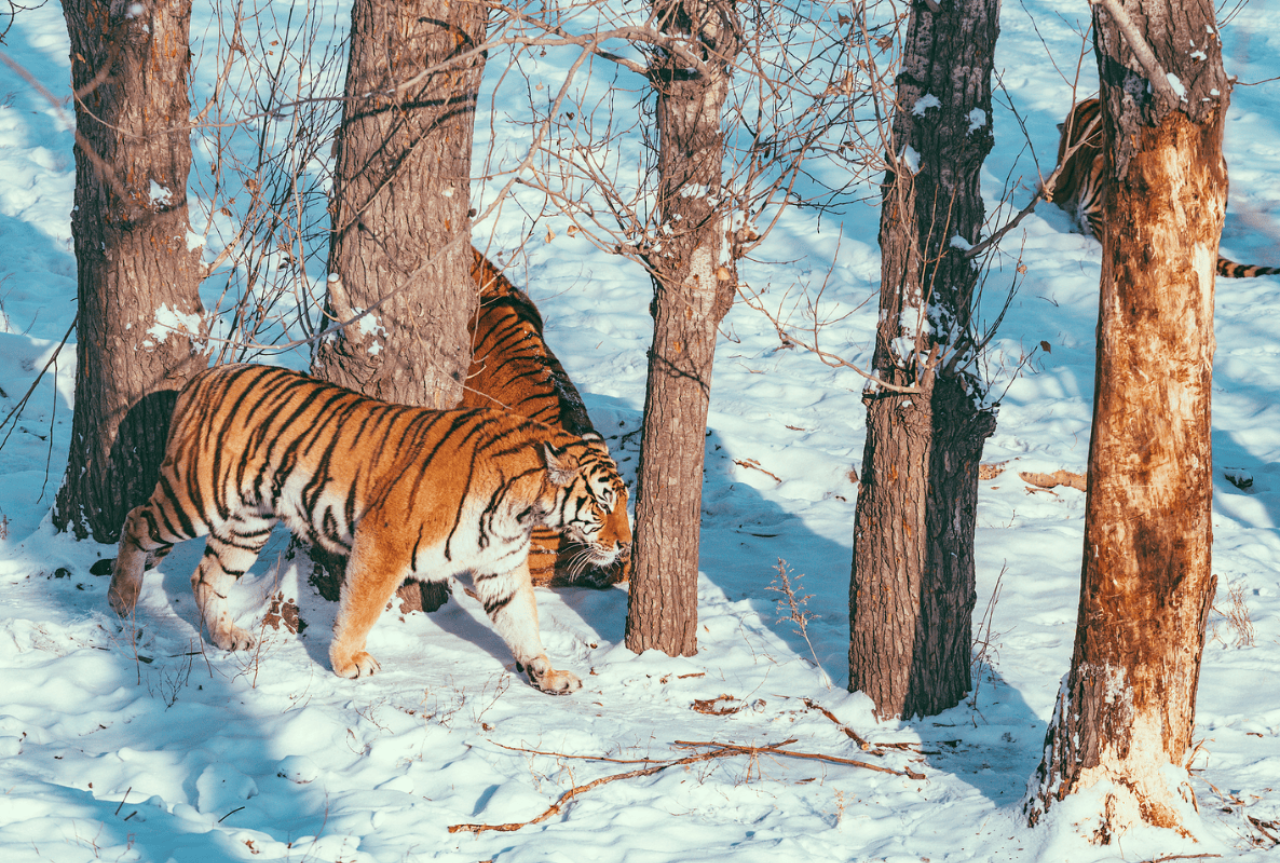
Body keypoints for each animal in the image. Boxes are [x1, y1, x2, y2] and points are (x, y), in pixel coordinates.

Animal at [106, 363, 629, 694]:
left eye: (623, 502)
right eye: (603, 504)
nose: (625, 545)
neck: (523, 509)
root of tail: (203, 376)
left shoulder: (500, 565)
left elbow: (522, 622)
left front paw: (546, 675)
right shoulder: (384, 542)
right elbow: (361, 609)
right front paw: (347, 664)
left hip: (247, 522)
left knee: (207, 575)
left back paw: (224, 636)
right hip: (197, 497)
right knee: (136, 520)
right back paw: (122, 598)